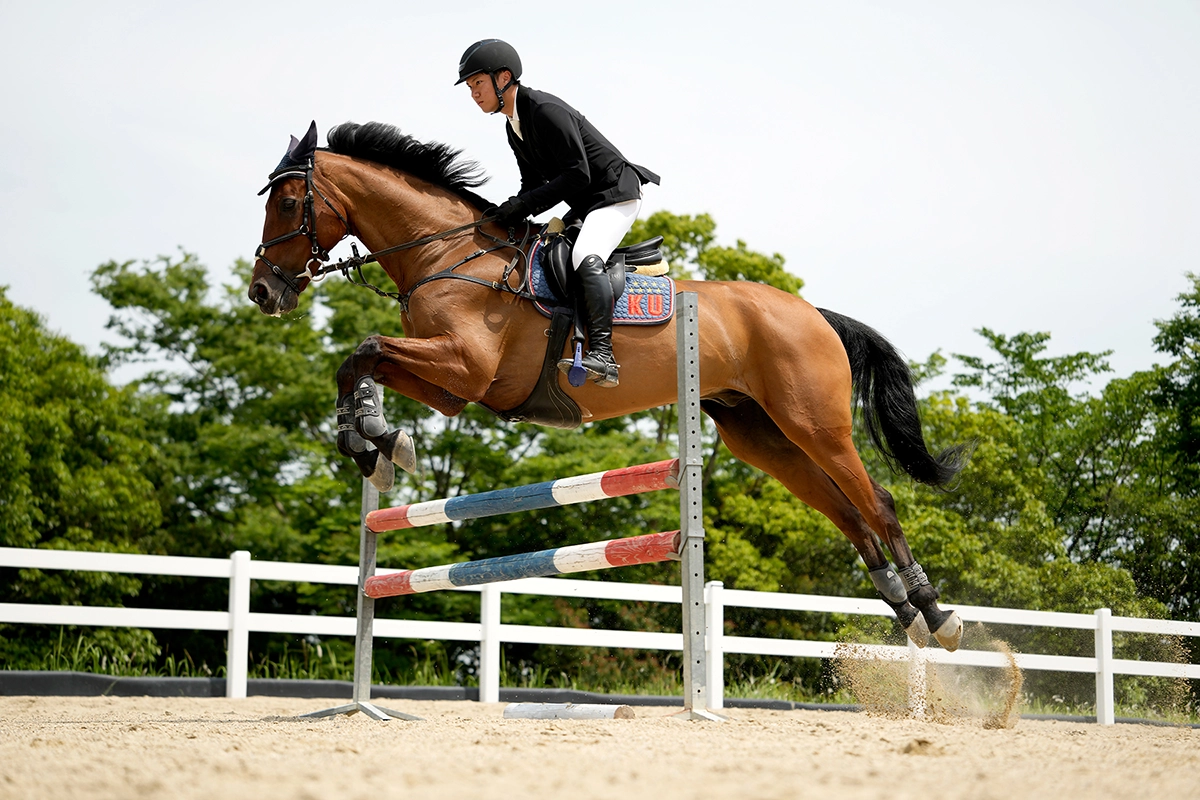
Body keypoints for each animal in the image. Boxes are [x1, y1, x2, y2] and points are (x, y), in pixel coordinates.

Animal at [249, 121, 970, 651]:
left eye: (287, 203)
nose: (263, 292)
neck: (446, 253)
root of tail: (813, 312)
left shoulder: (463, 366)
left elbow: (364, 350)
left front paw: (372, 438)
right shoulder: (452, 387)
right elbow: (359, 362)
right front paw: (372, 438)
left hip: (814, 422)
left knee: (878, 504)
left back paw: (937, 615)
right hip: (758, 434)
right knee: (845, 513)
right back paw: (907, 612)